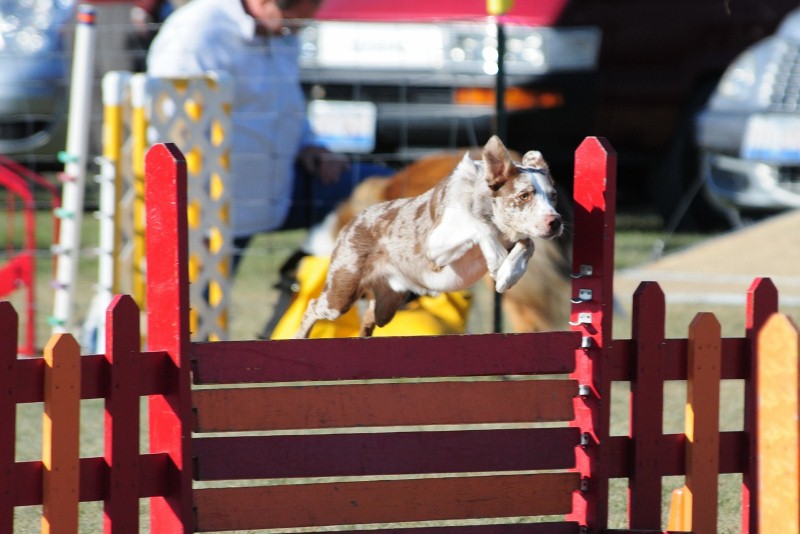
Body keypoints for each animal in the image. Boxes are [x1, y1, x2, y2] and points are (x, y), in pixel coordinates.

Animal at [294, 137, 564, 340]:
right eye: (524, 195)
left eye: (553, 196)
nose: (556, 221)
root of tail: (352, 222)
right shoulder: (434, 250)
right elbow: (480, 228)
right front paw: (498, 262)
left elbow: (528, 243)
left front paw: (509, 273)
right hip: (340, 295)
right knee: (312, 307)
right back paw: (299, 337)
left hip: (388, 304)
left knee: (371, 315)